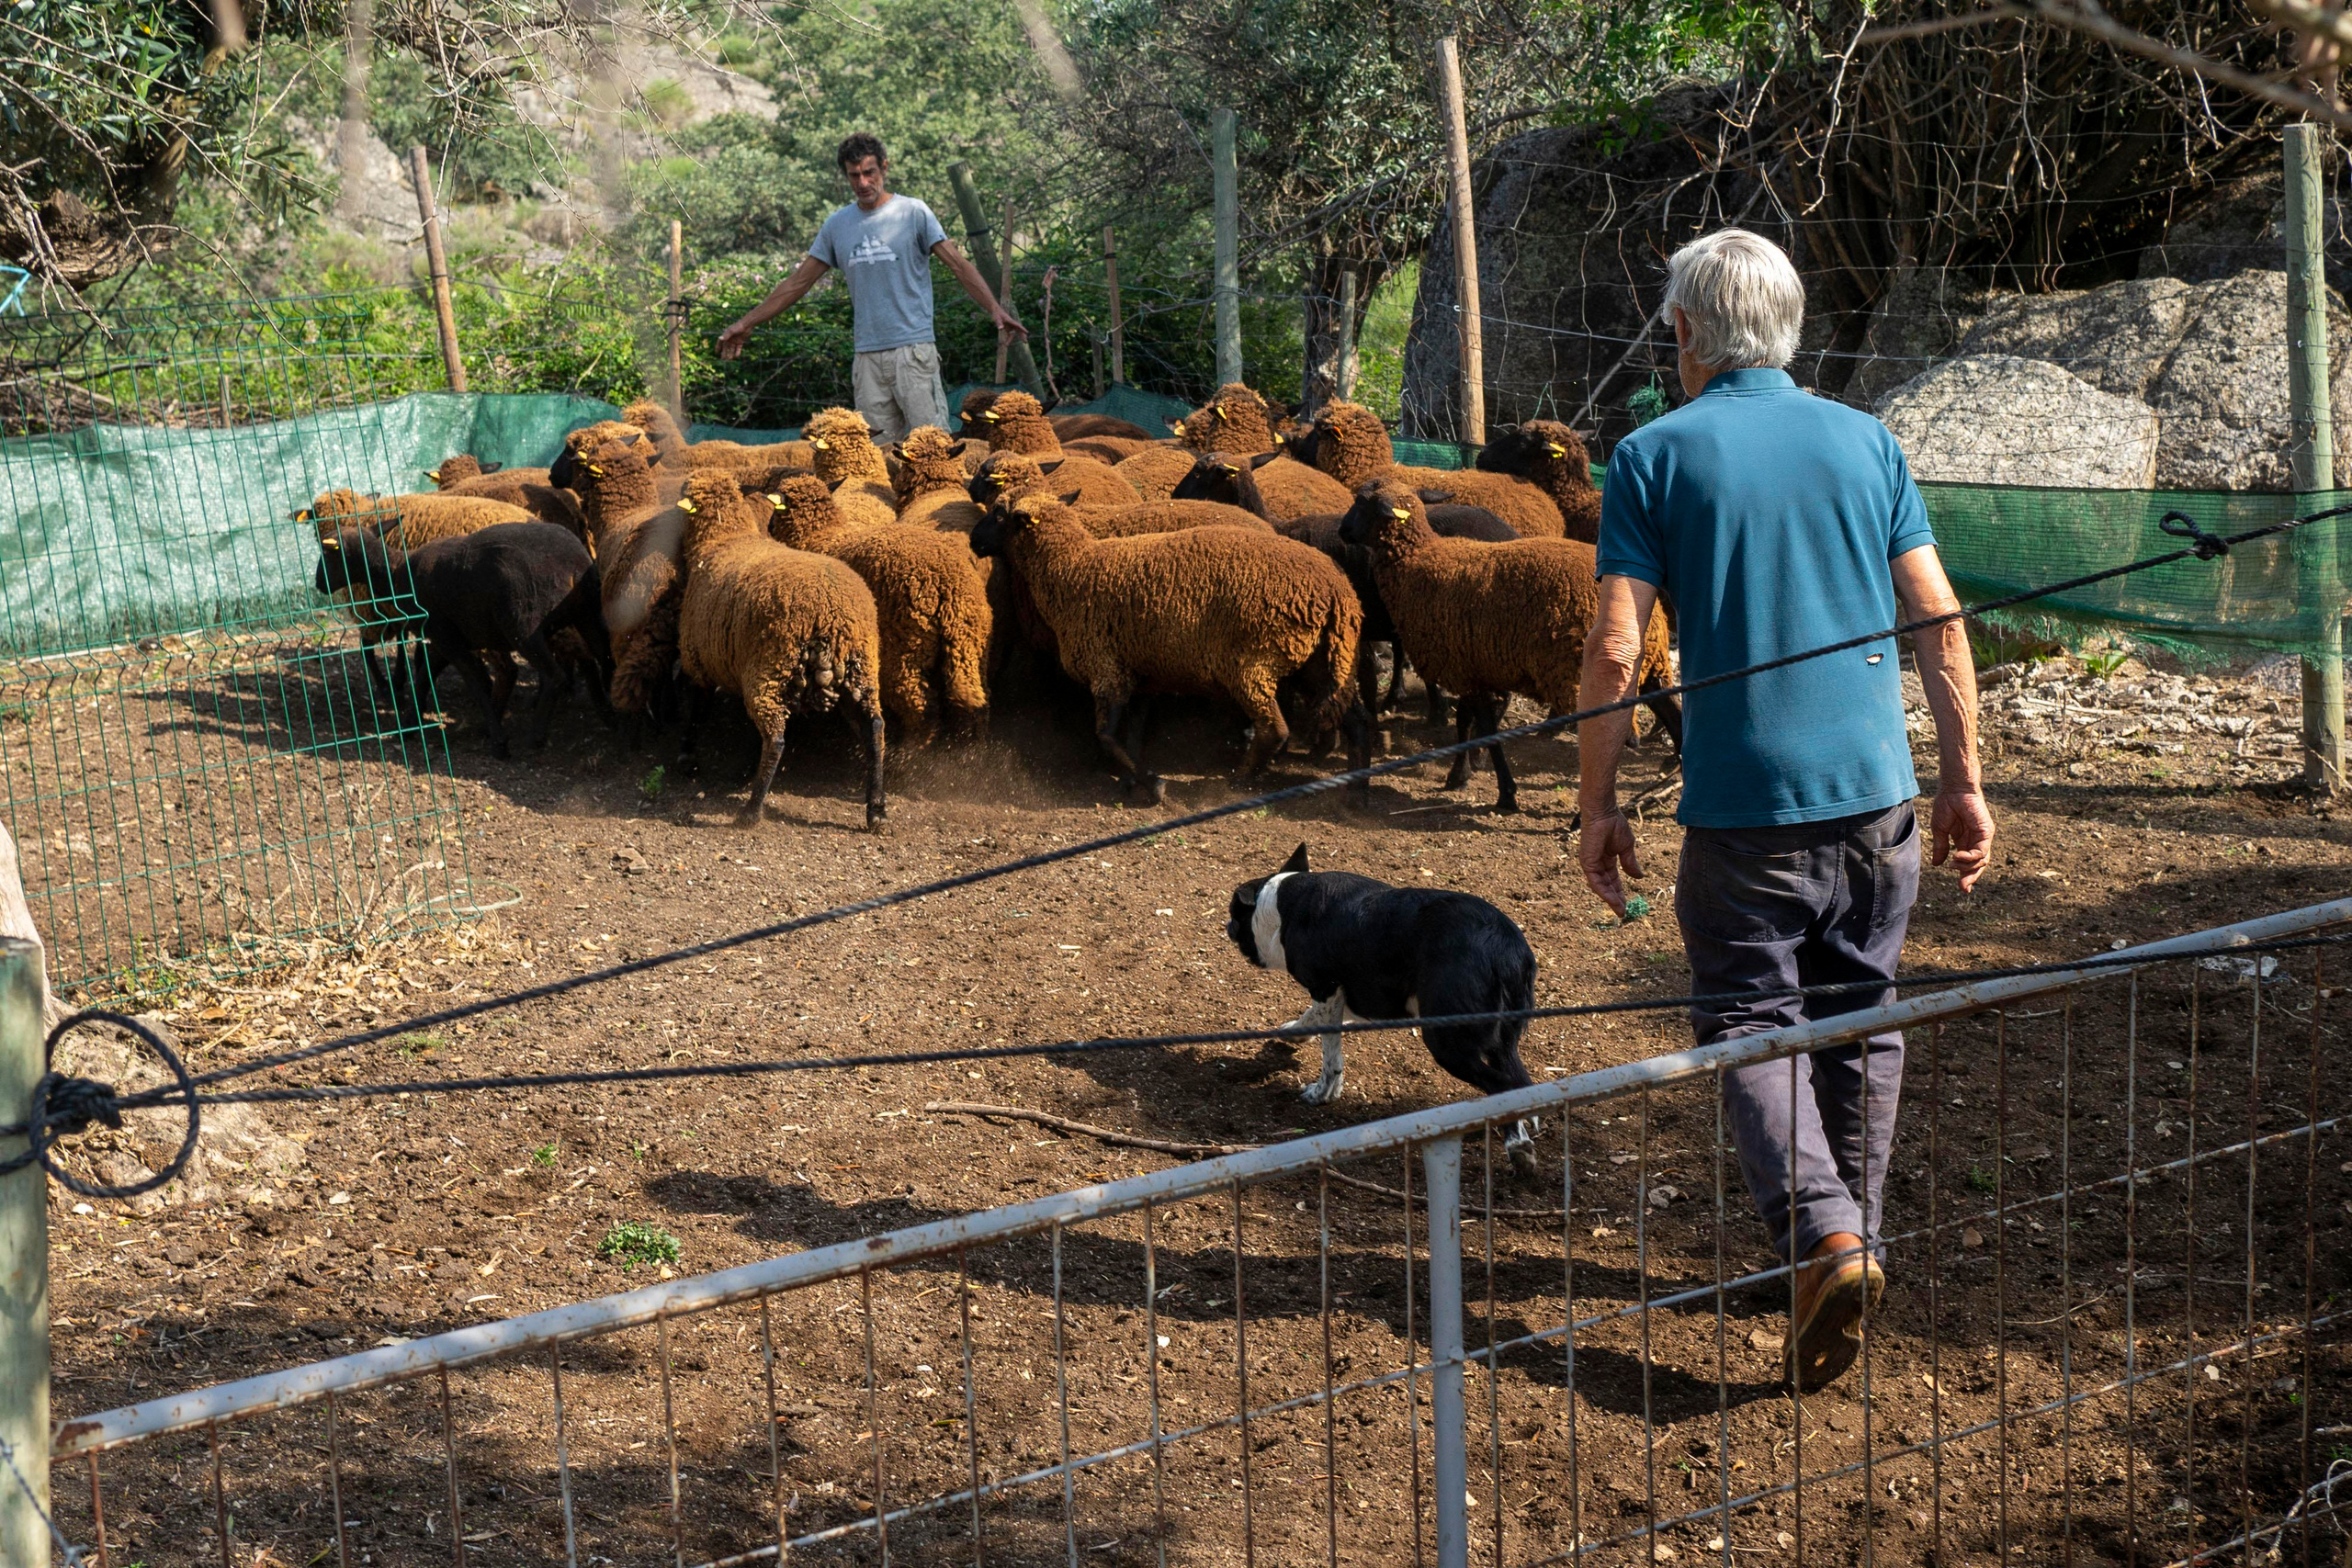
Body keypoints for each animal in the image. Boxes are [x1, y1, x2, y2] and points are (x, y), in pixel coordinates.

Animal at [314, 520, 610, 758]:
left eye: (327, 555)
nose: (318, 584)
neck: (397, 574)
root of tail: (572, 565)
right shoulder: (442, 637)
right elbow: (424, 677)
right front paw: (409, 726)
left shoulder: (446, 637)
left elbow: (476, 682)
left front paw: (498, 741)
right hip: (588, 613)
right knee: (607, 660)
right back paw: (613, 717)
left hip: (524, 627)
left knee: (555, 675)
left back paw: (536, 735)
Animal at [673, 469, 887, 828]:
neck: (724, 538)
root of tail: (831, 612)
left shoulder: (698, 662)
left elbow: (696, 713)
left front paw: (688, 758)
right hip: (862, 669)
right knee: (874, 729)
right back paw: (877, 811)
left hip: (771, 669)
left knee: (775, 739)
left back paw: (750, 812)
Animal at [763, 474, 991, 746]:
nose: (768, 528)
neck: (821, 536)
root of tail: (948, 589)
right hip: (973, 646)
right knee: (976, 702)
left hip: (904, 651)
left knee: (919, 707)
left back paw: (910, 748)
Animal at [969, 492, 1368, 804]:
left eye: (999, 513)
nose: (973, 539)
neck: (1071, 567)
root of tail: (1337, 590)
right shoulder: (1141, 674)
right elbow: (1132, 736)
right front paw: (1132, 782)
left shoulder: (1106, 668)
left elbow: (1107, 737)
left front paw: (1154, 784)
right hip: (1321, 661)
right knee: (1356, 718)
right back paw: (1355, 790)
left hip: (1253, 662)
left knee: (1275, 728)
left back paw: (1241, 780)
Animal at [1338, 481, 1680, 812]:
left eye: (1361, 502)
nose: (1341, 530)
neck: (1417, 562)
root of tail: (1654, 617)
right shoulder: (1474, 668)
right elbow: (1466, 723)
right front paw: (1461, 773)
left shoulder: (1463, 670)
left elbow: (1486, 731)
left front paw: (1505, 793)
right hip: (1651, 667)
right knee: (1672, 717)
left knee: (1618, 741)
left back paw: (1583, 818)